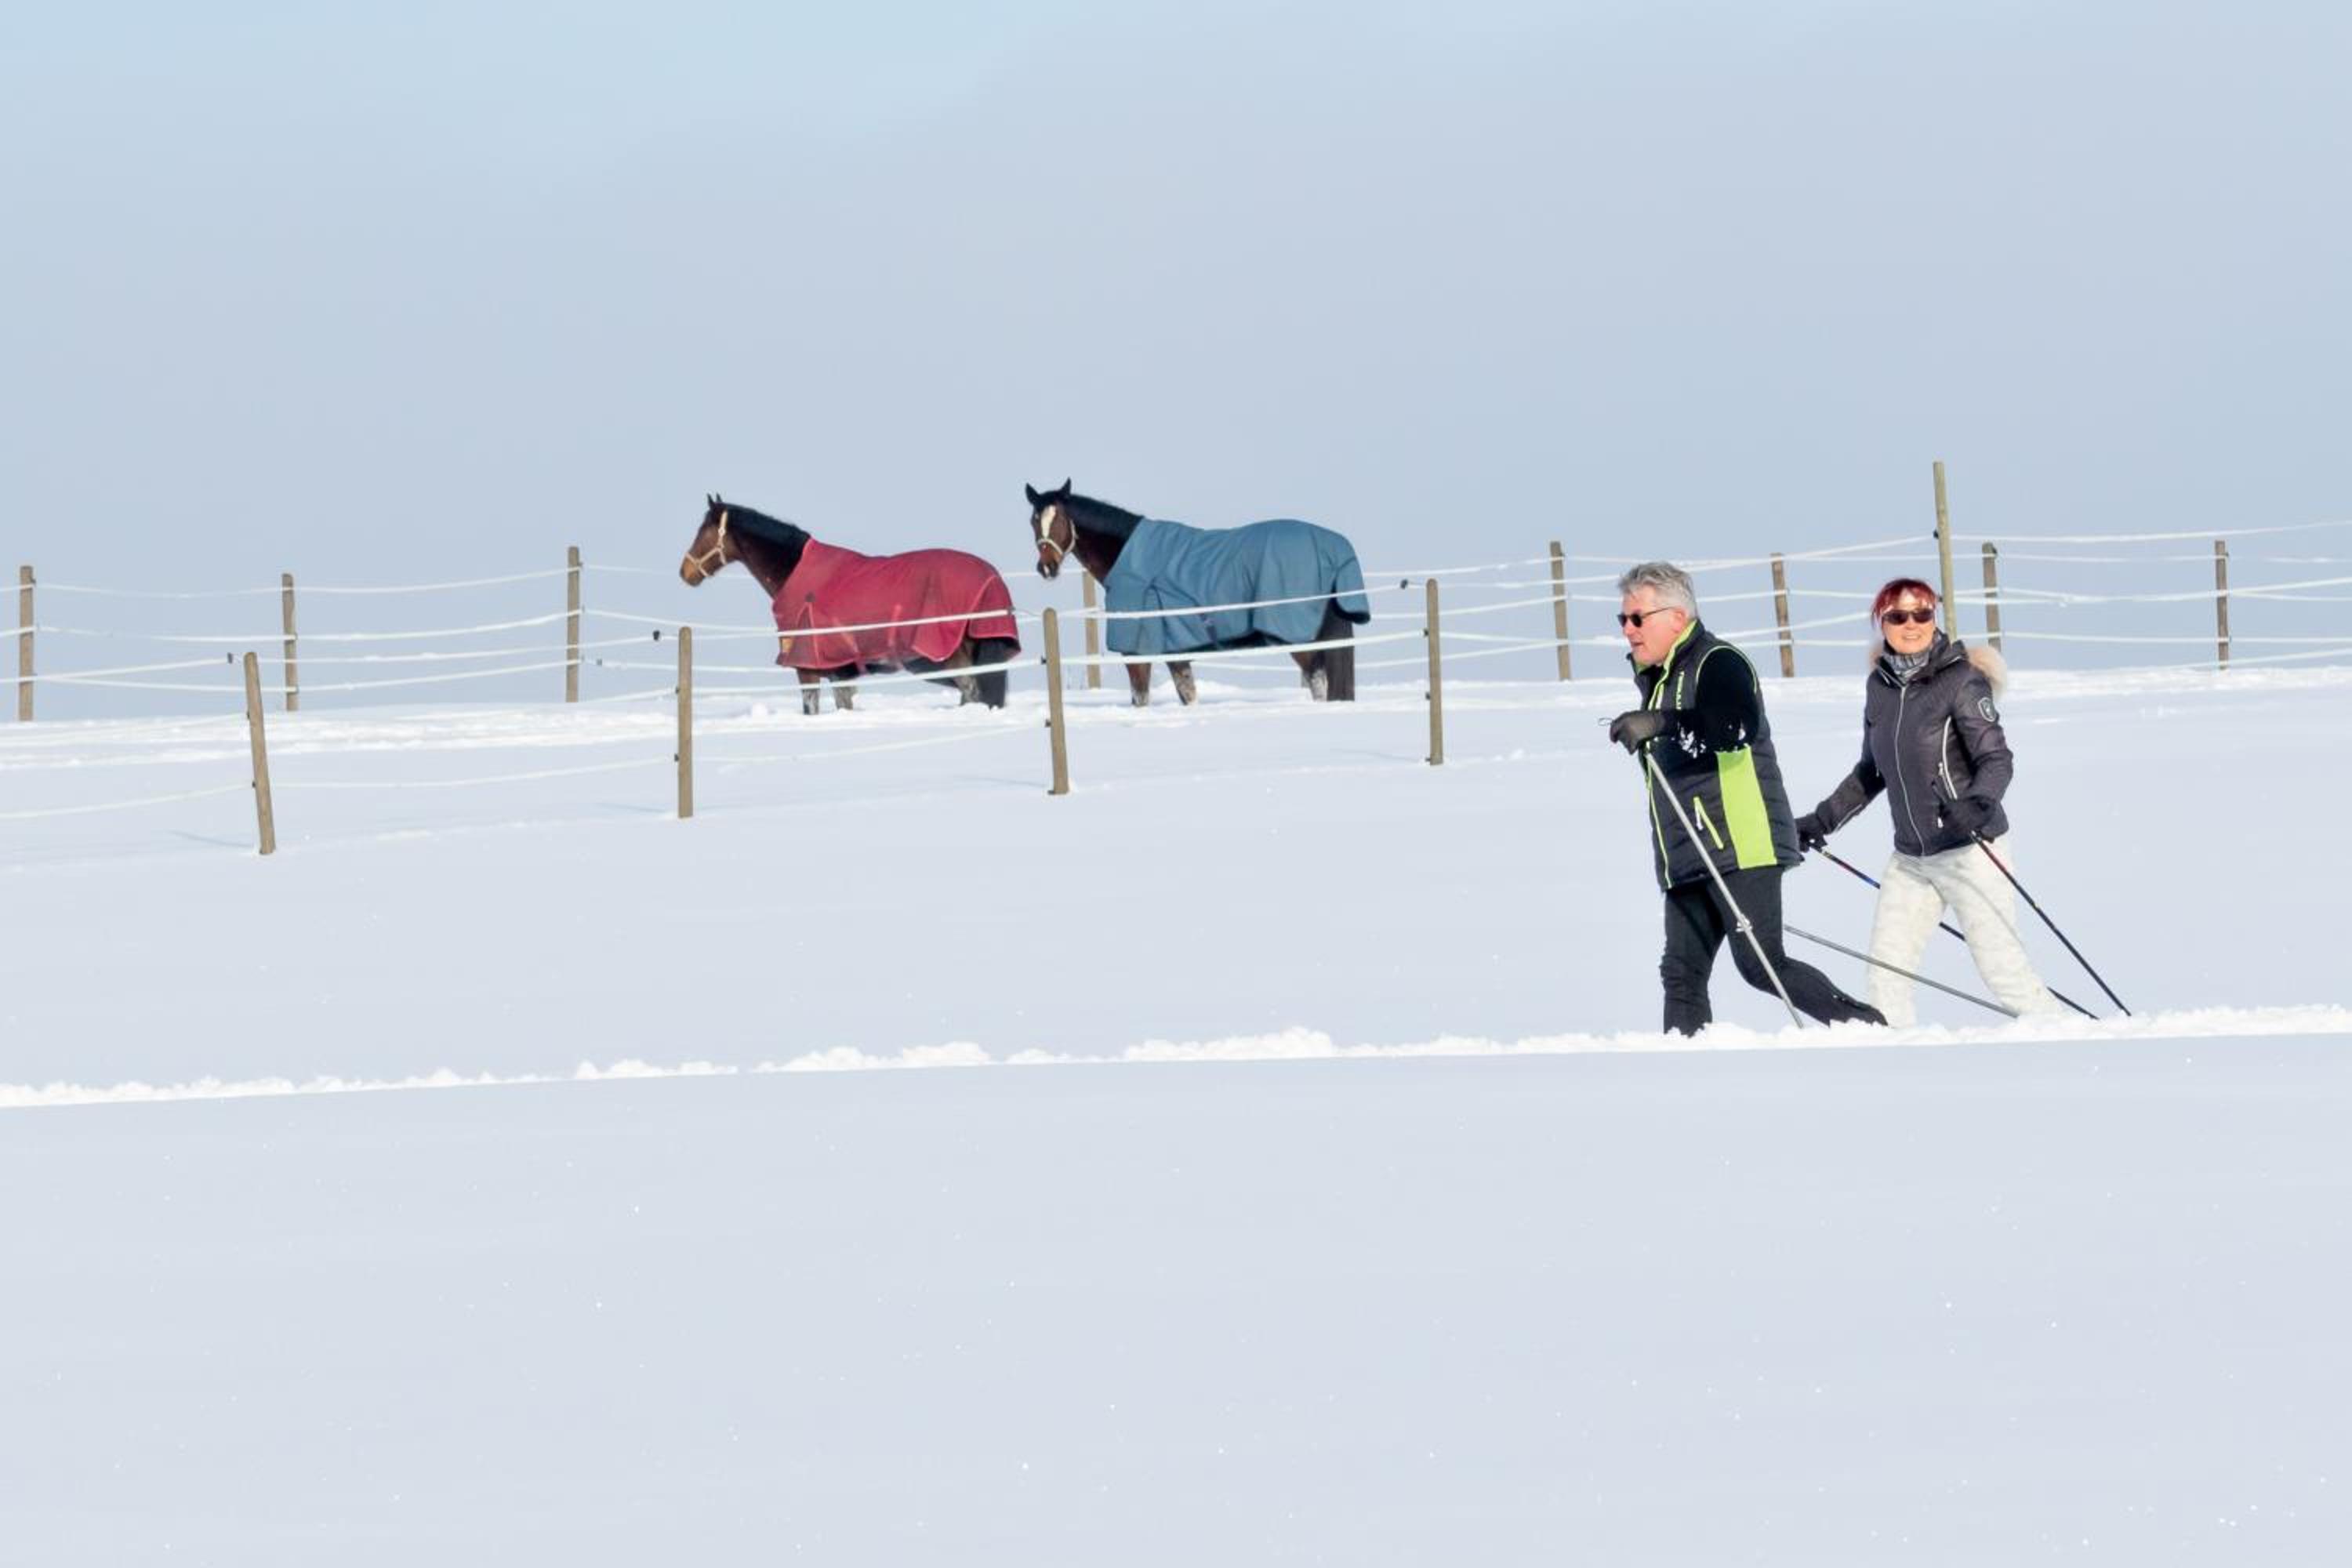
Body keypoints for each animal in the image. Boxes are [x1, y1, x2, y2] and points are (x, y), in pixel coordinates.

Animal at [679, 495, 1022, 715]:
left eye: (704, 531)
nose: (686, 572)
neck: (797, 572)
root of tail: (991, 578)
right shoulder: (839, 673)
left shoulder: (808, 669)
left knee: (970, 692)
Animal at [1024, 480, 1369, 706]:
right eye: (1034, 521)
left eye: (1061, 520)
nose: (1046, 567)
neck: (1129, 557)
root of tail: (1334, 547)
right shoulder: (1176, 653)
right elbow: (1188, 696)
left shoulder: (1137, 654)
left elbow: (1141, 699)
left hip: (1301, 643)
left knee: (1318, 685)